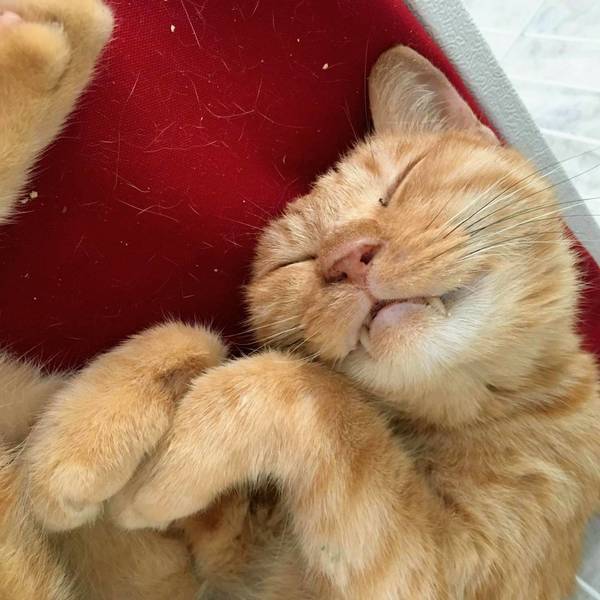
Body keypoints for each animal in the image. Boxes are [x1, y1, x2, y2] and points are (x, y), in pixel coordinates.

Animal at [1, 0, 599, 599]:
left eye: (400, 185)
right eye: (296, 263)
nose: (348, 259)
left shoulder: (447, 572)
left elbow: (306, 388)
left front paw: (159, 454)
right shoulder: (179, 566)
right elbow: (195, 337)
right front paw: (77, 438)